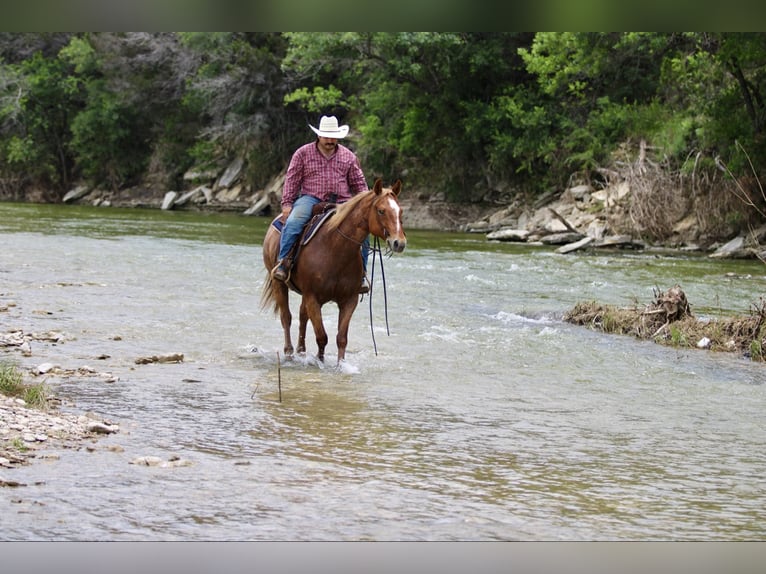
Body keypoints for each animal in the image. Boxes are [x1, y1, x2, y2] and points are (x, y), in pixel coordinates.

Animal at [262, 178, 408, 364]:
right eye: (381, 210)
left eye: (400, 211)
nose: (399, 243)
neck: (334, 248)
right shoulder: (313, 298)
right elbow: (322, 337)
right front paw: (319, 361)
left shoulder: (349, 300)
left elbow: (341, 338)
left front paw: (340, 365)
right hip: (278, 283)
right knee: (286, 317)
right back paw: (289, 352)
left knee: (302, 317)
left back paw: (301, 351)